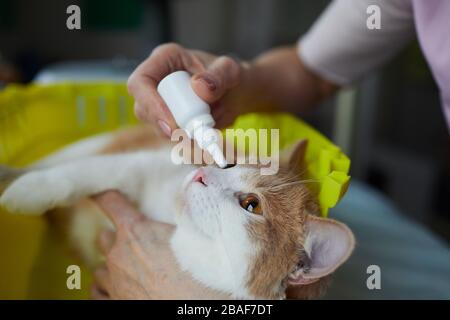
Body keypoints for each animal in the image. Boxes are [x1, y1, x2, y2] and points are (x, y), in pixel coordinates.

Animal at [0, 125, 356, 300]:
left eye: (251, 204)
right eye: (231, 164)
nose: (201, 174)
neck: (168, 216)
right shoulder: (138, 166)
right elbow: (75, 175)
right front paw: (28, 191)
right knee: (51, 161)